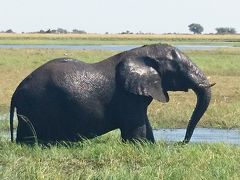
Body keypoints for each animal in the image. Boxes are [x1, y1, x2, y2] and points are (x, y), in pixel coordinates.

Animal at [10, 44, 215, 145]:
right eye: (179, 68)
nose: (181, 143)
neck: (141, 52)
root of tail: (17, 90)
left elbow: (144, 123)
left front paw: (151, 146)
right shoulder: (127, 96)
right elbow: (135, 127)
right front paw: (138, 147)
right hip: (35, 106)